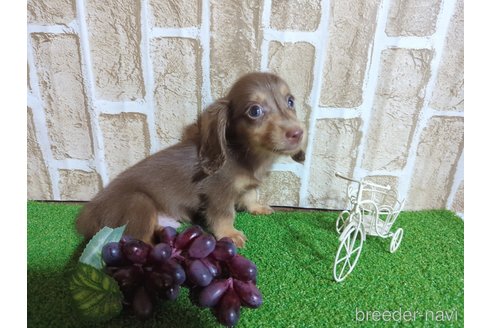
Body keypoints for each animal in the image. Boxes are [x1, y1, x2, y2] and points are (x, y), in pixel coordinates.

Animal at [75, 72, 306, 246]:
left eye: (290, 101)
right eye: (255, 110)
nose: (298, 133)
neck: (244, 154)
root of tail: (88, 215)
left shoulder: (248, 185)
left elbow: (250, 196)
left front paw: (257, 207)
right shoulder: (218, 193)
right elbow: (224, 215)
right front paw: (229, 234)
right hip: (138, 203)